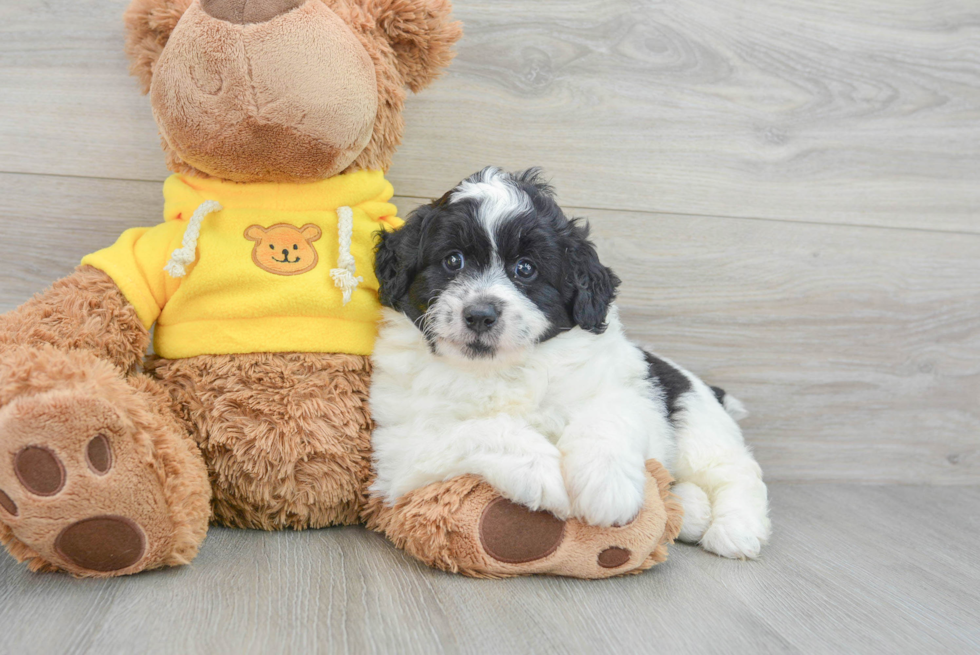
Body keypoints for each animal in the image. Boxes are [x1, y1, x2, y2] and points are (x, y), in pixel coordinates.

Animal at [372, 168, 768, 560]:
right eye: (453, 261)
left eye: (525, 269)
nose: (481, 315)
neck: (500, 370)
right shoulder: (400, 443)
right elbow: (479, 429)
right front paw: (542, 471)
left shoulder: (620, 389)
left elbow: (604, 418)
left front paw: (608, 487)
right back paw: (692, 510)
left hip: (700, 432)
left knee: (736, 472)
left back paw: (737, 530)